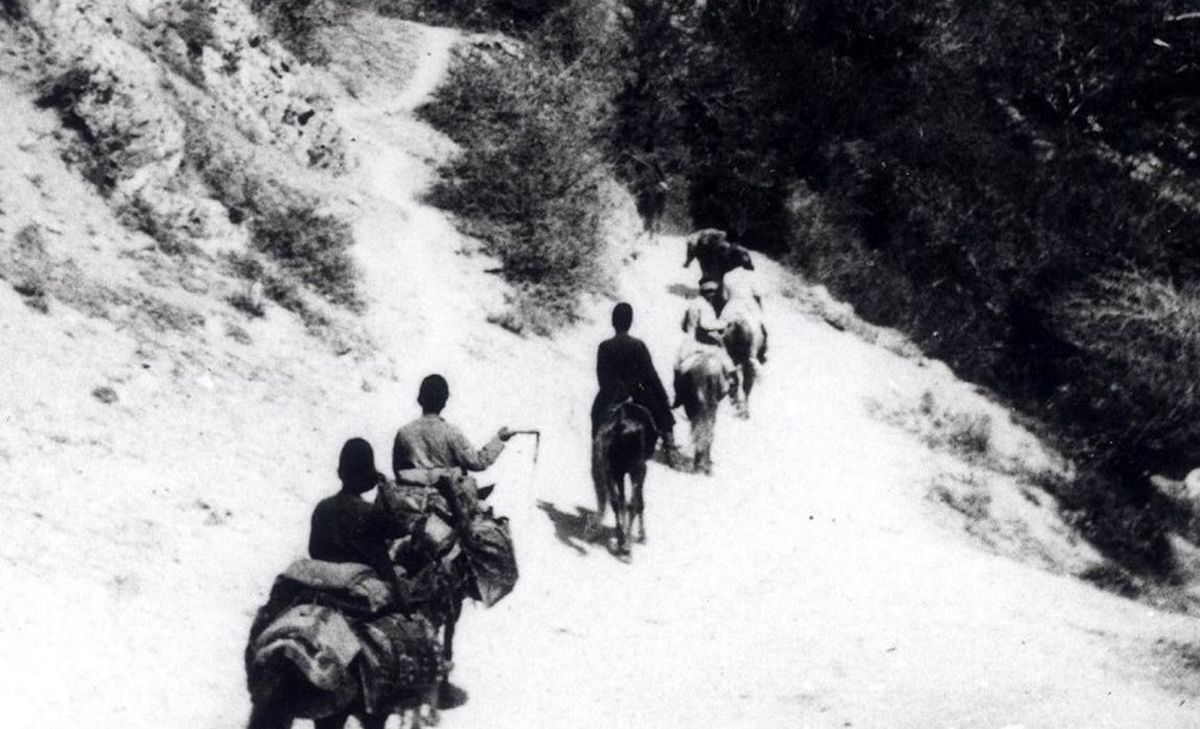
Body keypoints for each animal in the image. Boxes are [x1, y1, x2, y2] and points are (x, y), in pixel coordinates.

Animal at [590, 400, 657, 556]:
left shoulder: (619, 472)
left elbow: (622, 501)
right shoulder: (639, 470)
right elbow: (637, 503)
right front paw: (641, 536)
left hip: (614, 471)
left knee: (617, 501)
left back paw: (622, 540)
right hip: (634, 470)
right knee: (631, 503)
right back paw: (626, 544)